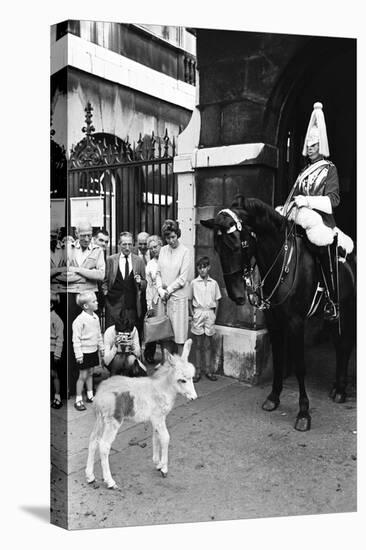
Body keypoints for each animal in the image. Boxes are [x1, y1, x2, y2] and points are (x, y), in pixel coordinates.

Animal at [85, 340, 197, 492]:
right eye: (182, 380)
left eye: (191, 378)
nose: (194, 398)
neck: (162, 388)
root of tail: (99, 394)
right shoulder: (158, 418)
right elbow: (165, 438)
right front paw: (164, 469)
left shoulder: (156, 419)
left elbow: (156, 437)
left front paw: (157, 463)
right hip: (113, 421)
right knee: (104, 446)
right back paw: (110, 482)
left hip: (100, 420)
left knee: (93, 441)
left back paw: (90, 477)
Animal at [202, 196, 356, 434]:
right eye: (217, 249)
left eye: (237, 244)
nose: (236, 296)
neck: (282, 263)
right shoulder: (274, 322)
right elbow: (278, 360)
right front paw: (273, 398)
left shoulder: (296, 323)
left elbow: (300, 367)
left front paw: (303, 413)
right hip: (332, 318)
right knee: (340, 346)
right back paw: (336, 387)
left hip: (347, 311)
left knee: (345, 345)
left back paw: (340, 390)